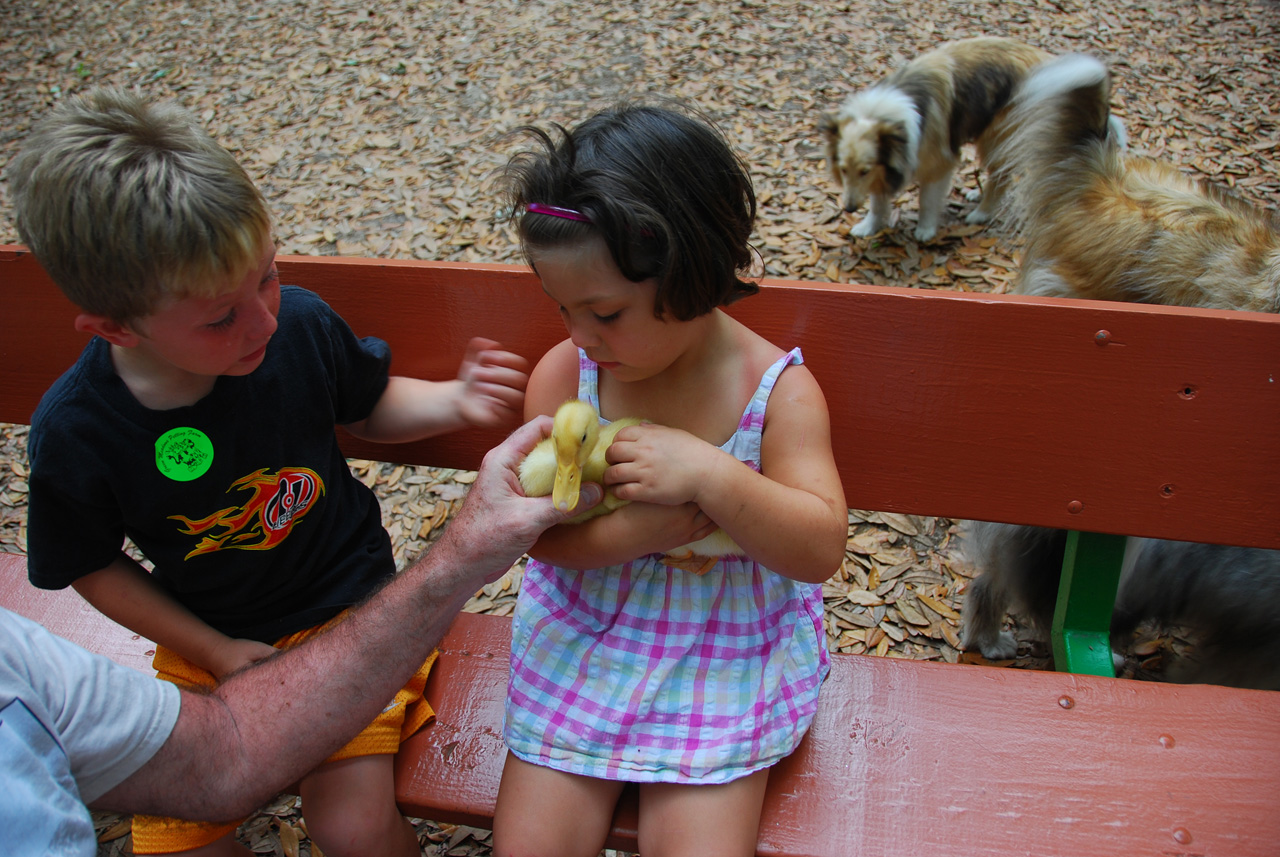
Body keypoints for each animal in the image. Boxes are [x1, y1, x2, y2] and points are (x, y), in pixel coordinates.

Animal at [819, 37, 1049, 243]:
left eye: (864, 171)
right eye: (843, 169)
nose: (849, 208)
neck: (883, 118)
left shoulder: (938, 166)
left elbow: (927, 201)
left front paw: (925, 230)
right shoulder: (886, 168)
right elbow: (877, 202)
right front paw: (869, 226)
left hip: (994, 138)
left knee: (1001, 177)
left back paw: (981, 213)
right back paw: (977, 193)